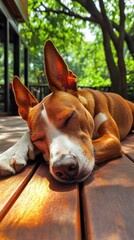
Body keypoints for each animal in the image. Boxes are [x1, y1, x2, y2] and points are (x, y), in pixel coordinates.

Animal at [0, 40, 134, 184]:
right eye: (37, 139)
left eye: (69, 117)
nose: (64, 166)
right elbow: (26, 134)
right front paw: (11, 154)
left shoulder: (111, 138)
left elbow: (92, 146)